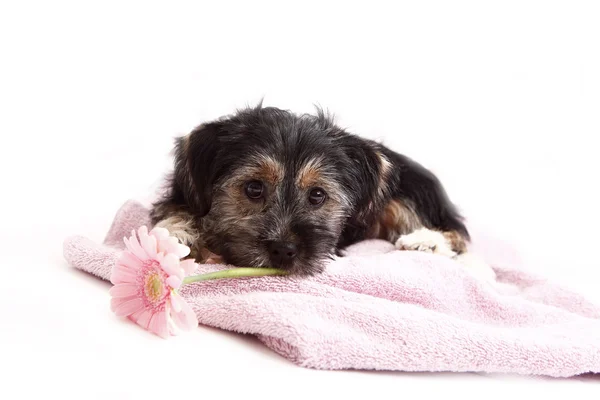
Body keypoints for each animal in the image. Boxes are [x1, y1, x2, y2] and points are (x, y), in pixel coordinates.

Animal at [152, 104, 476, 276]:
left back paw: (425, 241)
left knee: (458, 234)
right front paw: (179, 235)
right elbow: (175, 211)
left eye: (318, 195)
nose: (283, 250)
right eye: (253, 188)